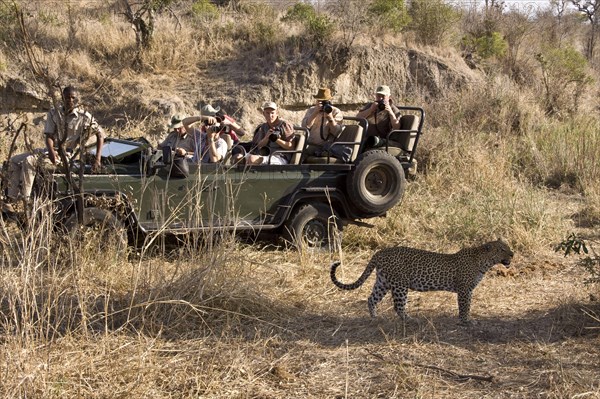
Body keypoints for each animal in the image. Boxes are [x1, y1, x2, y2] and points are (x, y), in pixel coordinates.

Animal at [330, 239, 512, 324]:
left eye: (507, 247)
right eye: (502, 249)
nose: (513, 254)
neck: (484, 262)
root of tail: (380, 252)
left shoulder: (468, 290)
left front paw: (465, 320)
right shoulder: (464, 289)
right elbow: (464, 306)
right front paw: (466, 321)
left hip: (383, 282)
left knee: (371, 298)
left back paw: (375, 317)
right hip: (400, 284)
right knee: (398, 306)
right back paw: (410, 319)